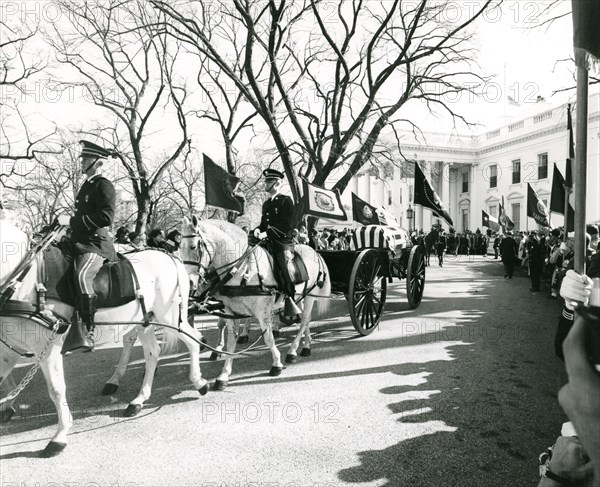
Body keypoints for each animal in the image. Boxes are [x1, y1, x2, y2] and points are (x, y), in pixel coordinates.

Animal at [0, 221, 209, 458]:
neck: (24, 281)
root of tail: (170, 258)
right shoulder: (8, 352)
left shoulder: (49, 348)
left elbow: (56, 390)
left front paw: (60, 436)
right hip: (146, 320)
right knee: (153, 353)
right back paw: (138, 399)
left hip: (171, 317)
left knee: (193, 342)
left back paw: (200, 382)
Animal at [180, 215, 330, 390]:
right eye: (179, 248)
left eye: (193, 246)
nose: (189, 283)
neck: (242, 269)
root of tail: (314, 251)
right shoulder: (231, 311)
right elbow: (231, 340)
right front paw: (224, 374)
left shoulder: (261, 311)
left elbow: (268, 338)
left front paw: (276, 364)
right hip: (298, 297)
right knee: (305, 320)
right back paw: (306, 346)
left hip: (310, 295)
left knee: (304, 319)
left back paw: (293, 351)